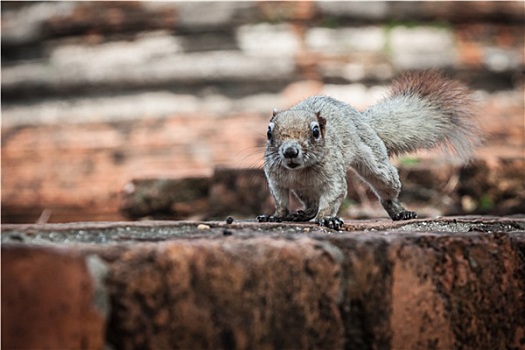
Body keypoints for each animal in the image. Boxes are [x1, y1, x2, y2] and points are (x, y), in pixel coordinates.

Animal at [256, 71, 482, 230]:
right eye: (269, 132)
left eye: (315, 131)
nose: (290, 152)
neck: (299, 171)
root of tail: (362, 119)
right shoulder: (276, 179)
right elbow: (280, 200)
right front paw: (275, 216)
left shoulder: (334, 177)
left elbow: (333, 197)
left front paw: (327, 219)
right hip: (304, 190)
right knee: (311, 203)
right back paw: (302, 214)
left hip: (377, 165)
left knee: (388, 191)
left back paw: (400, 212)